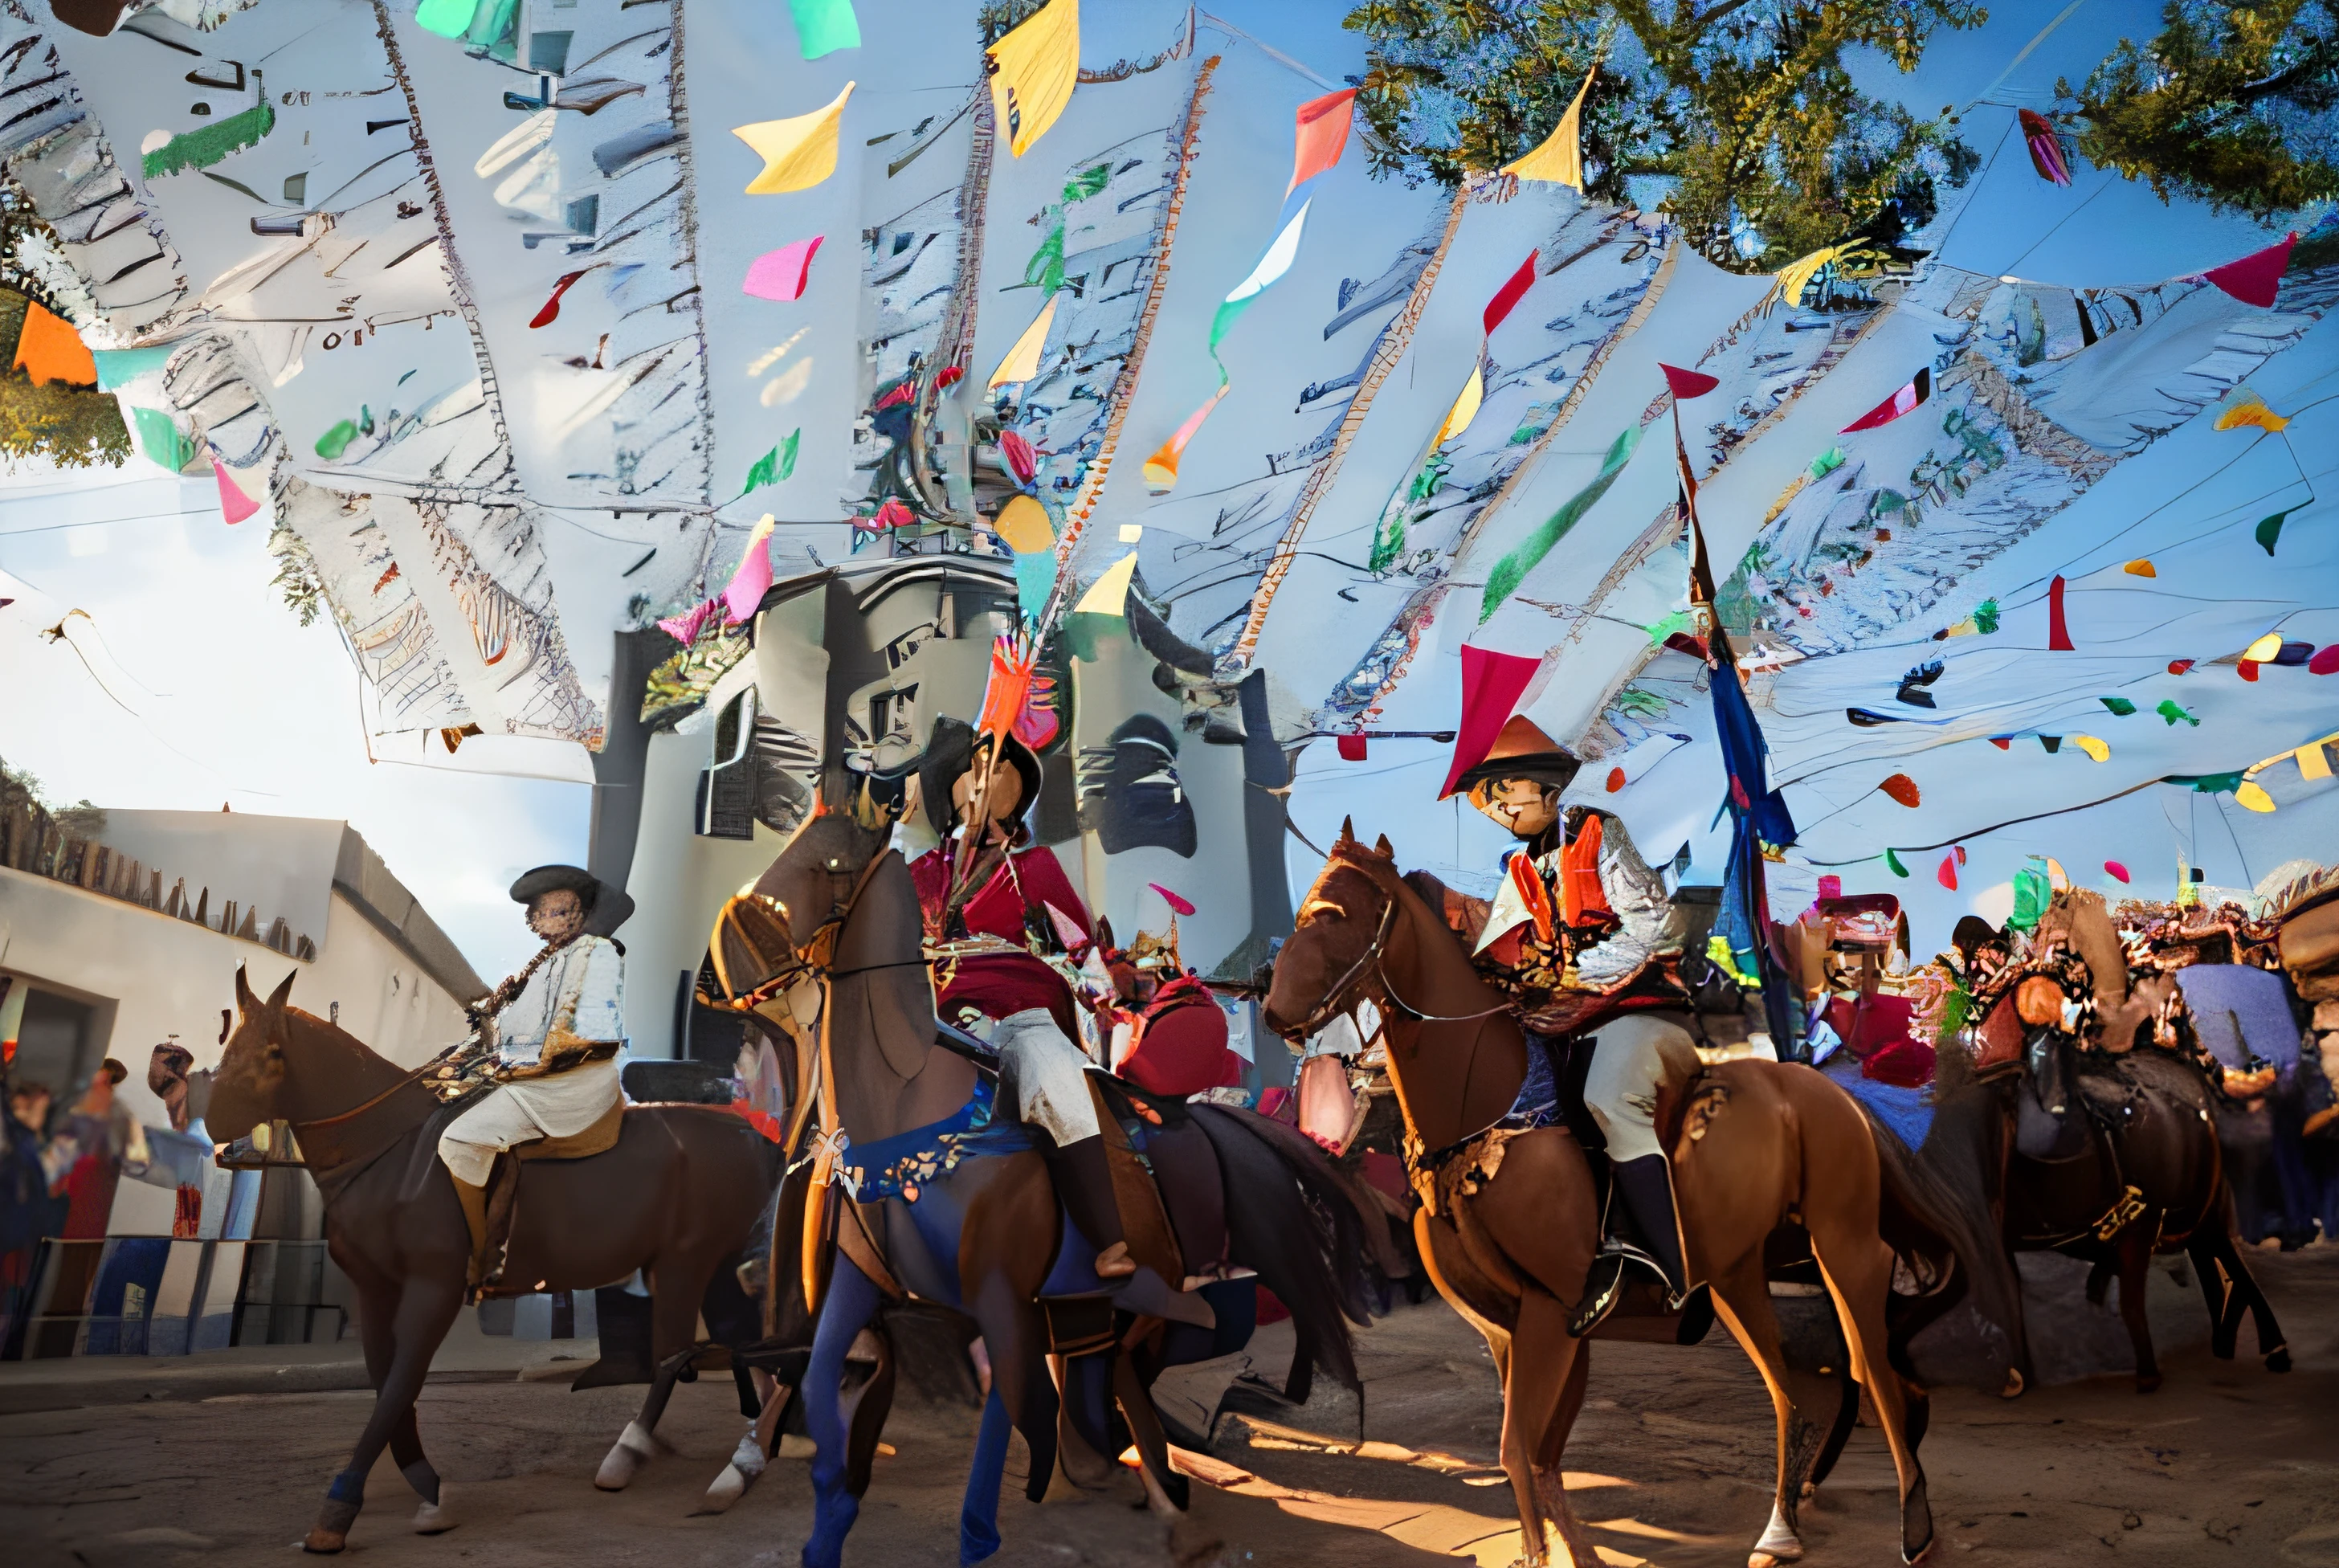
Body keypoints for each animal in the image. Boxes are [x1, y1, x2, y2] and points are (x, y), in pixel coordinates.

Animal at [201, 969, 767, 1563]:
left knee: (678, 1356)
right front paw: (420, 1480)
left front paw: (345, 1505)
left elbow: (402, 1380)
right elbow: (386, 1380)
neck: (391, 1150)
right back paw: (743, 1453)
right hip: (710, 1266)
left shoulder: (432, 1287)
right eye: (228, 1043)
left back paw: (640, 1454)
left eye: (272, 1051)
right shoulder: (376, 1290)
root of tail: (751, 1134)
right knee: (739, 1347)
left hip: (687, 1260)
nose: (214, 1123)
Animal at [1263, 828, 1974, 1563]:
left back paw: (1914, 1526)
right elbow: (1537, 1458)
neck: (1486, 1119)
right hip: (1737, 1275)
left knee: (1876, 1378)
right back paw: (1782, 1528)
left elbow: (1518, 1452)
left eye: (1333, 915)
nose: (1272, 1009)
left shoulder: (1552, 1311)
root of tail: (1837, 1096)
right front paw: (1568, 1553)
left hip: (1844, 1248)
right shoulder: (1510, 1327)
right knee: (1804, 1395)